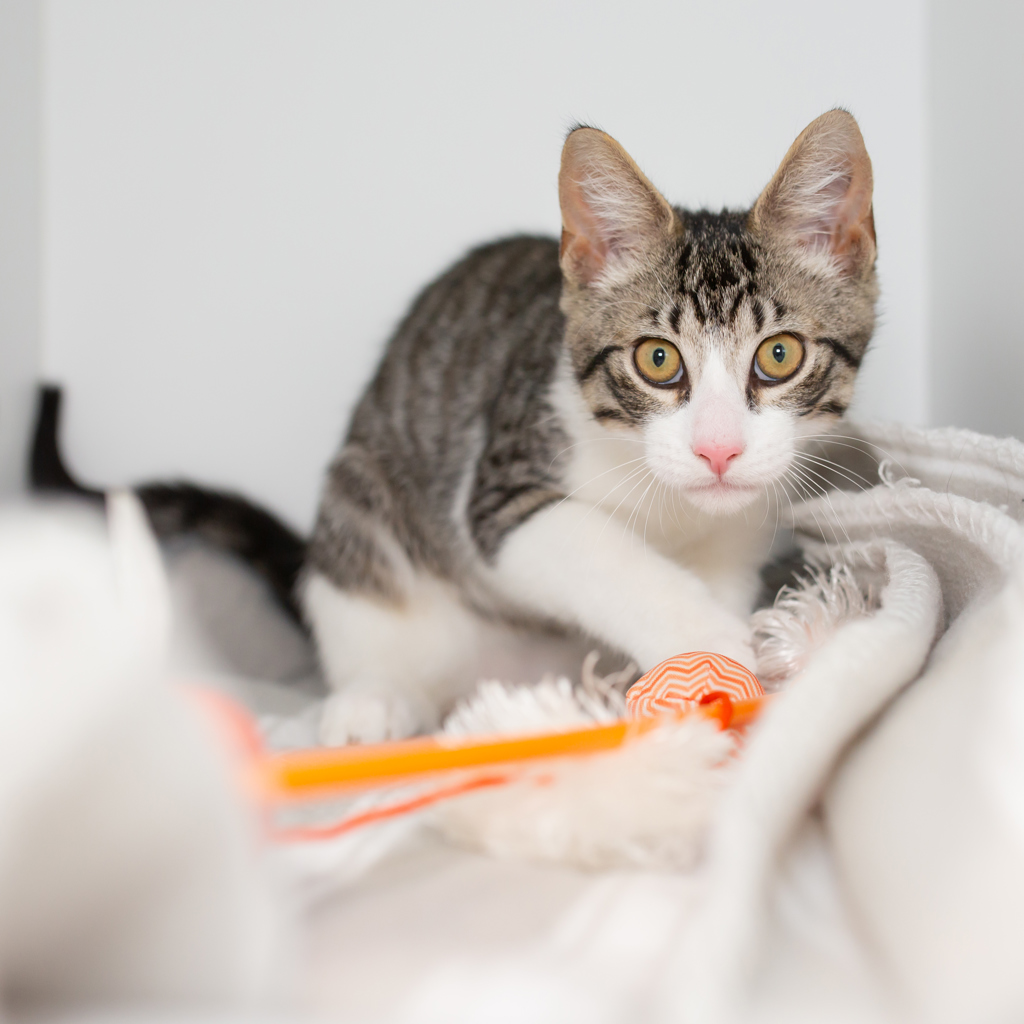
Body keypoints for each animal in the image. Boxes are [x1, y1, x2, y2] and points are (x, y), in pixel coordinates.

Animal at [302, 109, 877, 744]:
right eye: (658, 359)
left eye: (779, 355)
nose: (718, 450)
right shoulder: (503, 490)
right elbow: (595, 548)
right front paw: (708, 645)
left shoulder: (744, 523)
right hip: (359, 507)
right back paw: (373, 699)